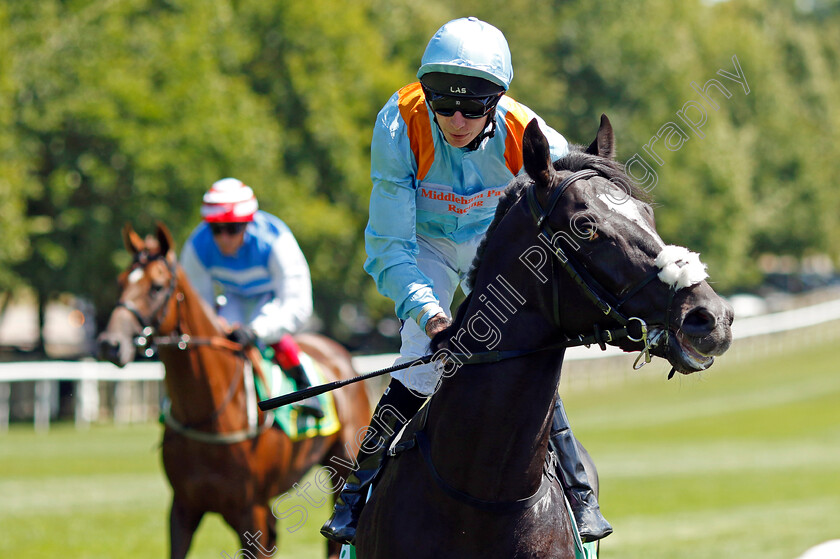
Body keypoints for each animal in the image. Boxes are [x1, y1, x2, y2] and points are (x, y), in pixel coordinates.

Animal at [97, 224, 370, 559]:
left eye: (157, 287)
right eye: (121, 281)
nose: (110, 344)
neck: (209, 415)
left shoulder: (250, 510)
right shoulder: (183, 507)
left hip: (342, 465)